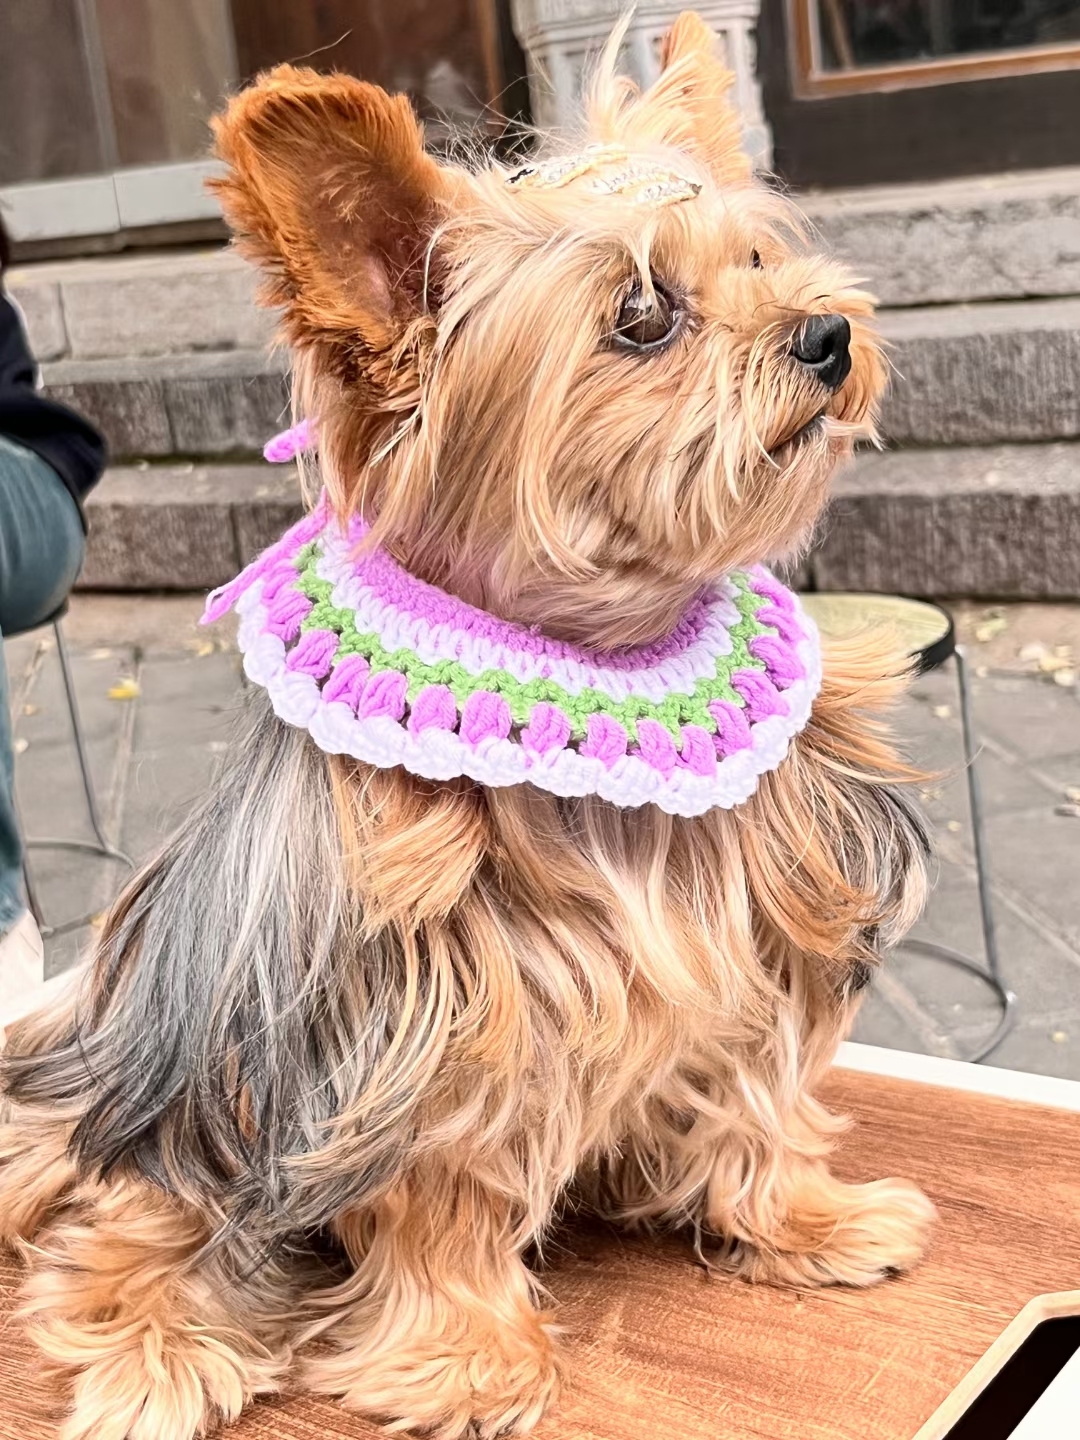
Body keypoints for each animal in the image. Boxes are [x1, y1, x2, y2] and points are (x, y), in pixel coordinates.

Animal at [0, 14, 934, 1439]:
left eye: (760, 262)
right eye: (641, 316)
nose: (830, 333)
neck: (600, 653)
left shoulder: (756, 937)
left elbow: (754, 1092)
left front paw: (804, 1218)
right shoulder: (422, 1028)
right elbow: (440, 1195)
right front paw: (470, 1358)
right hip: (180, 1080)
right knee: (126, 1225)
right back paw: (160, 1354)